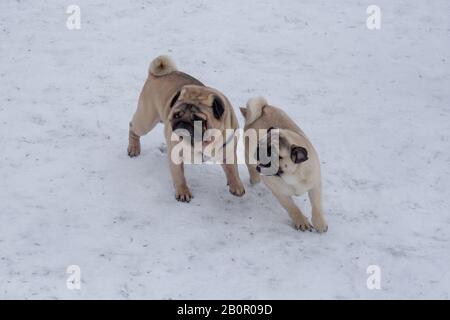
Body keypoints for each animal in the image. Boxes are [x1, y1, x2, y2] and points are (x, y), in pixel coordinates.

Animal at [128, 55, 244, 202]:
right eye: (177, 115)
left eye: (198, 119)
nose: (183, 123)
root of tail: (156, 74)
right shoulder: (175, 154)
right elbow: (179, 176)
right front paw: (183, 192)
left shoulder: (227, 150)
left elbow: (232, 170)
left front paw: (236, 185)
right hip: (146, 120)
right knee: (133, 127)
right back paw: (133, 148)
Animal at [241, 97, 328, 232]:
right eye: (259, 145)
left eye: (272, 153)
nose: (260, 152)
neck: (293, 174)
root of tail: (264, 108)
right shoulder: (281, 194)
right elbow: (293, 208)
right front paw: (301, 222)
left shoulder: (315, 186)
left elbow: (317, 206)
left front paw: (319, 224)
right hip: (249, 155)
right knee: (251, 168)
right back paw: (255, 180)